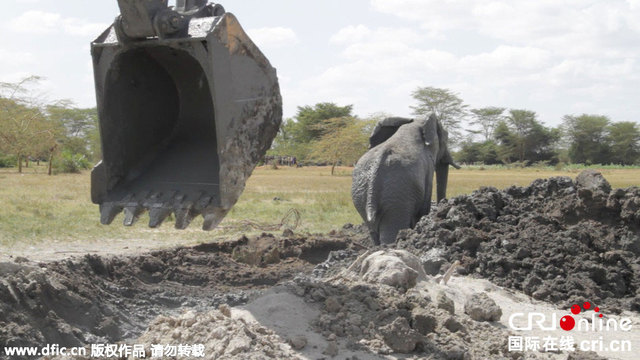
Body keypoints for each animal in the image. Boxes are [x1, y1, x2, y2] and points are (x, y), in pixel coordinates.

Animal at [350, 114, 460, 246]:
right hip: (398, 195)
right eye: (445, 137)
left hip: (361, 193)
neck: (414, 123)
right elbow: (423, 207)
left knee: (373, 229)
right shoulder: (428, 165)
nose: (442, 205)